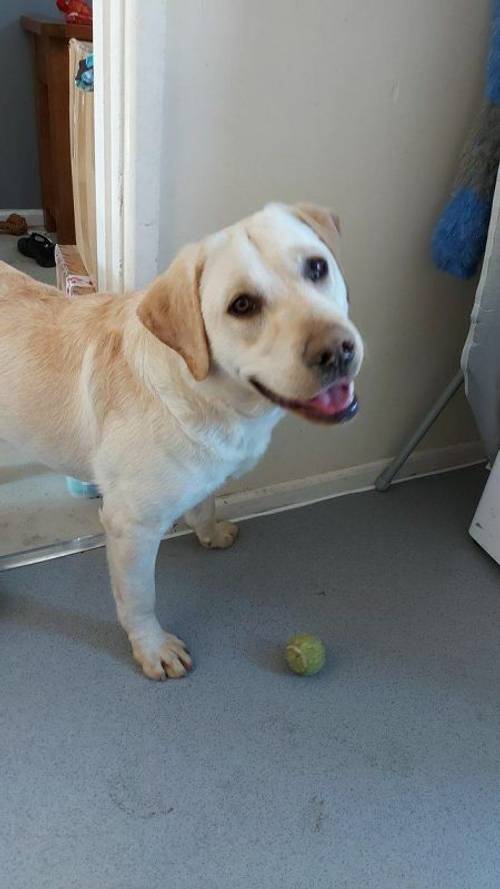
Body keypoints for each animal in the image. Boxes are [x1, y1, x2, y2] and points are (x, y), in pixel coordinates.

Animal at [0, 203, 362, 680]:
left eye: (317, 267)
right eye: (242, 305)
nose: (337, 351)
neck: (208, 397)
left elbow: (206, 502)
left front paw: (210, 533)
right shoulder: (129, 526)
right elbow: (139, 599)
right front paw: (152, 648)